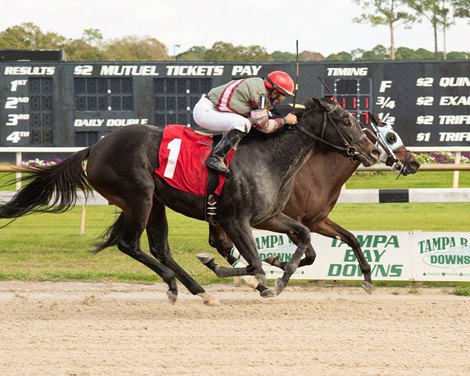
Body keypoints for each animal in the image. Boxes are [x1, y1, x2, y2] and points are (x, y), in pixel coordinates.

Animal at [0, 97, 380, 306]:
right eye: (346, 119)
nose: (373, 151)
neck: (270, 157)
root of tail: (96, 147)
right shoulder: (234, 219)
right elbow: (254, 263)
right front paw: (243, 273)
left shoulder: (269, 217)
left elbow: (303, 240)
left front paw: (279, 275)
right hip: (139, 196)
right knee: (130, 244)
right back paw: (177, 285)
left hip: (155, 202)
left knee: (159, 248)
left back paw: (199, 291)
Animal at [205, 111, 418, 294]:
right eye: (391, 137)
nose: (414, 162)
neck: (318, 174)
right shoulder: (293, 221)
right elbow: (311, 255)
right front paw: (276, 263)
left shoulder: (317, 221)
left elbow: (350, 239)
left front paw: (367, 279)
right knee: (225, 244)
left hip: (217, 215)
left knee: (220, 242)